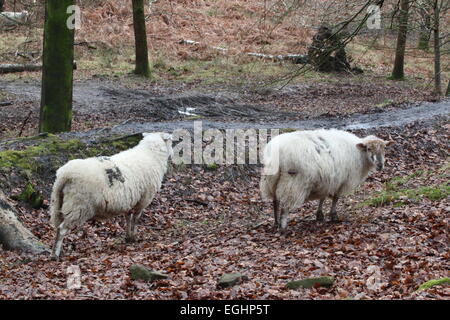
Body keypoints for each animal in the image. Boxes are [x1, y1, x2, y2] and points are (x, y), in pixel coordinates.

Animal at [260, 129, 394, 231]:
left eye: (384, 148)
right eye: (369, 149)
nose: (380, 165)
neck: (360, 154)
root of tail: (277, 152)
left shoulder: (328, 179)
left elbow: (322, 197)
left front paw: (320, 215)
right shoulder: (342, 181)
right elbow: (336, 198)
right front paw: (333, 216)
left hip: (271, 180)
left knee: (275, 202)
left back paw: (276, 223)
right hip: (293, 182)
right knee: (285, 205)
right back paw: (283, 226)